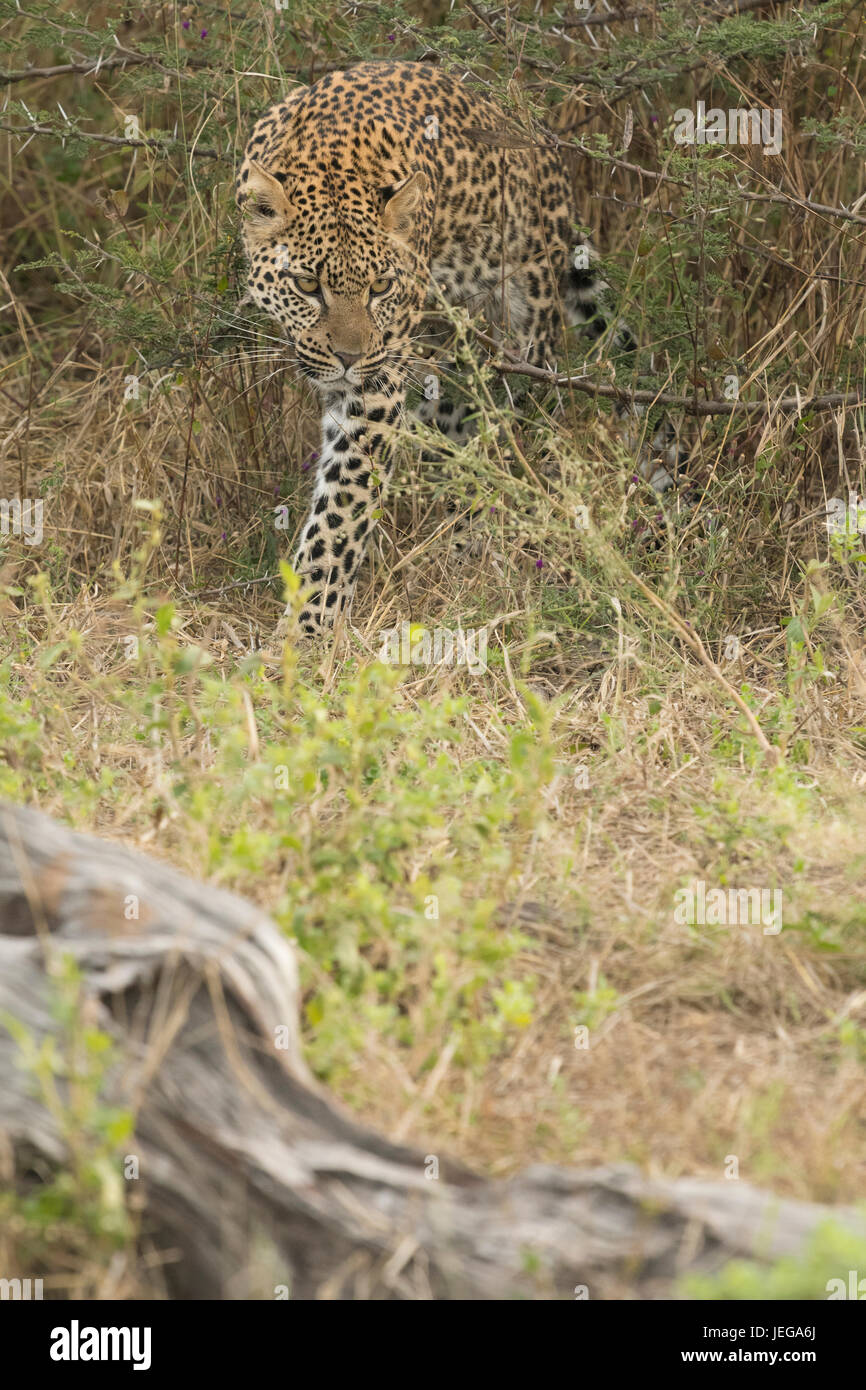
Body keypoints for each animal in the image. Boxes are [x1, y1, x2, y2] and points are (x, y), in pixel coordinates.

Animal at [237, 60, 678, 637]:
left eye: (381, 286)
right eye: (308, 285)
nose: (350, 359)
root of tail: (541, 145)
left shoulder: (377, 386)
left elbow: (341, 511)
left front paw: (308, 628)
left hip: (525, 331)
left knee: (518, 441)